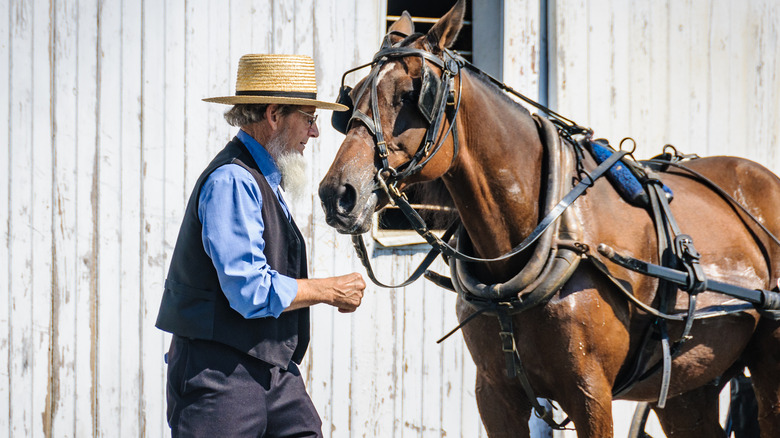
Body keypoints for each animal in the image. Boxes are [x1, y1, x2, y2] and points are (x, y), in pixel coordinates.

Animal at [316, 1, 780, 436]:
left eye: (412, 95)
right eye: (353, 97)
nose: (337, 194)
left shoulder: (591, 394)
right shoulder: (495, 395)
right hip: (690, 382)